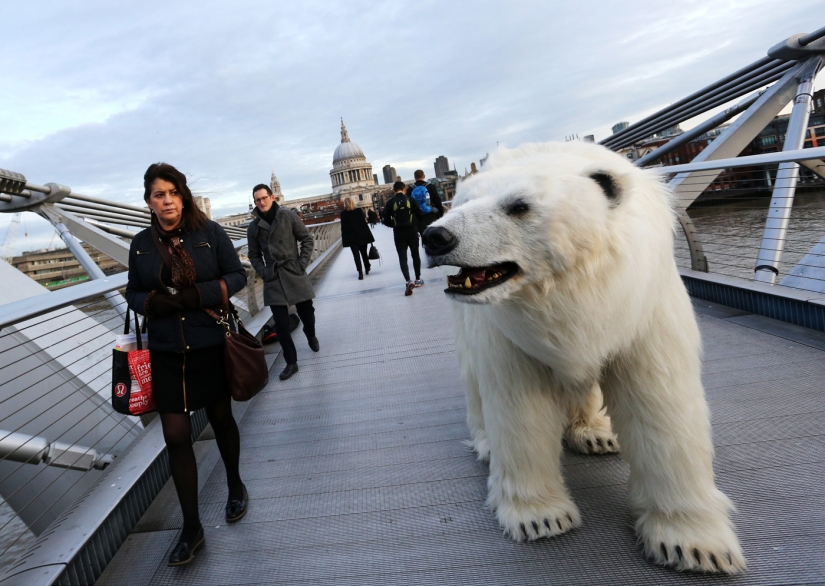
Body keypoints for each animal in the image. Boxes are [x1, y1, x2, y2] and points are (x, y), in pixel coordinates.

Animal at [422, 141, 746, 574]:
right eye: (463, 201)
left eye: (519, 206)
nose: (436, 236)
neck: (575, 287)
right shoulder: (509, 335)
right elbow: (520, 407)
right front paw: (540, 517)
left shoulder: (642, 308)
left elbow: (661, 401)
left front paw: (695, 545)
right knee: (474, 378)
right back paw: (488, 443)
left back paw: (595, 433)